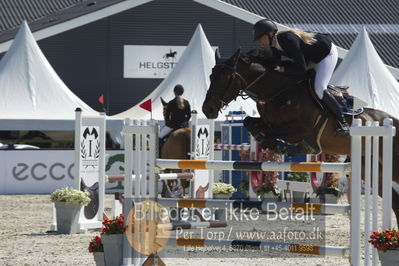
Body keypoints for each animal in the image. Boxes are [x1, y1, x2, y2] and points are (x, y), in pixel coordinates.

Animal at [203, 47, 399, 224]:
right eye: (211, 77)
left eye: (224, 78)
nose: (207, 109)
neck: (279, 91)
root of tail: (392, 121)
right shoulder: (270, 122)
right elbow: (249, 122)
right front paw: (265, 141)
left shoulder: (301, 128)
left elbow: (275, 134)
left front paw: (284, 146)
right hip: (371, 168)